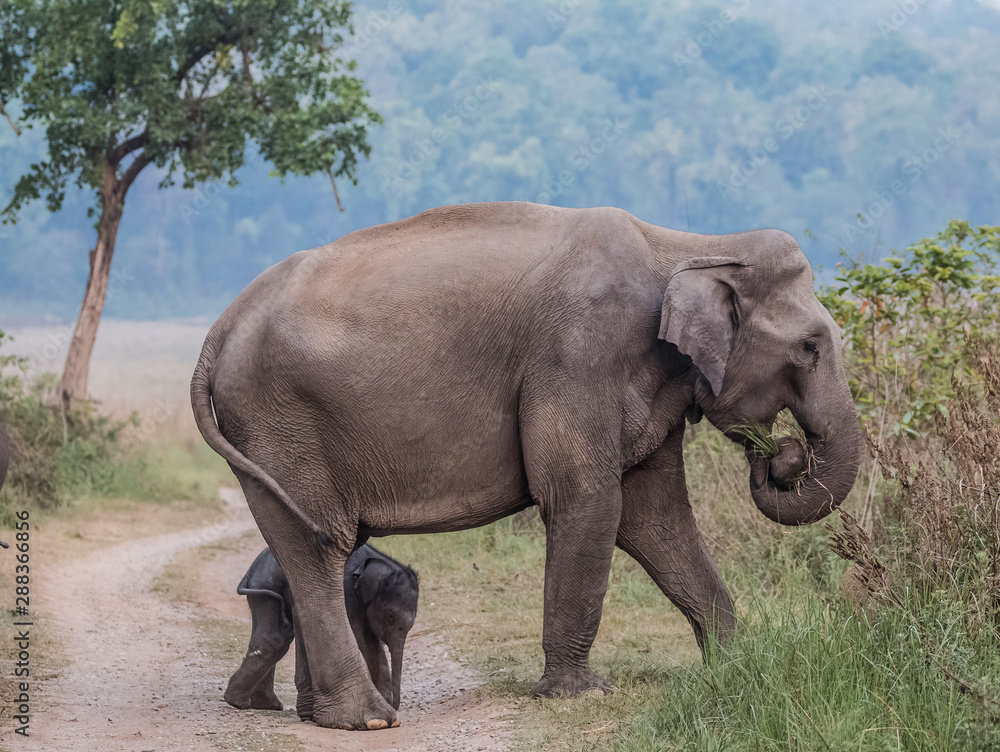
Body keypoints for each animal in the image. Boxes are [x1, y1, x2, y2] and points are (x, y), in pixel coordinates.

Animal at [226, 544, 418, 712]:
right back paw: (240, 703)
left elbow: (372, 642)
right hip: (267, 588)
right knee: (274, 640)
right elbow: (360, 640)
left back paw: (267, 705)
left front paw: (385, 702)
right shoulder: (346, 592)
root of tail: (251, 570)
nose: (395, 705)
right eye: (390, 616)